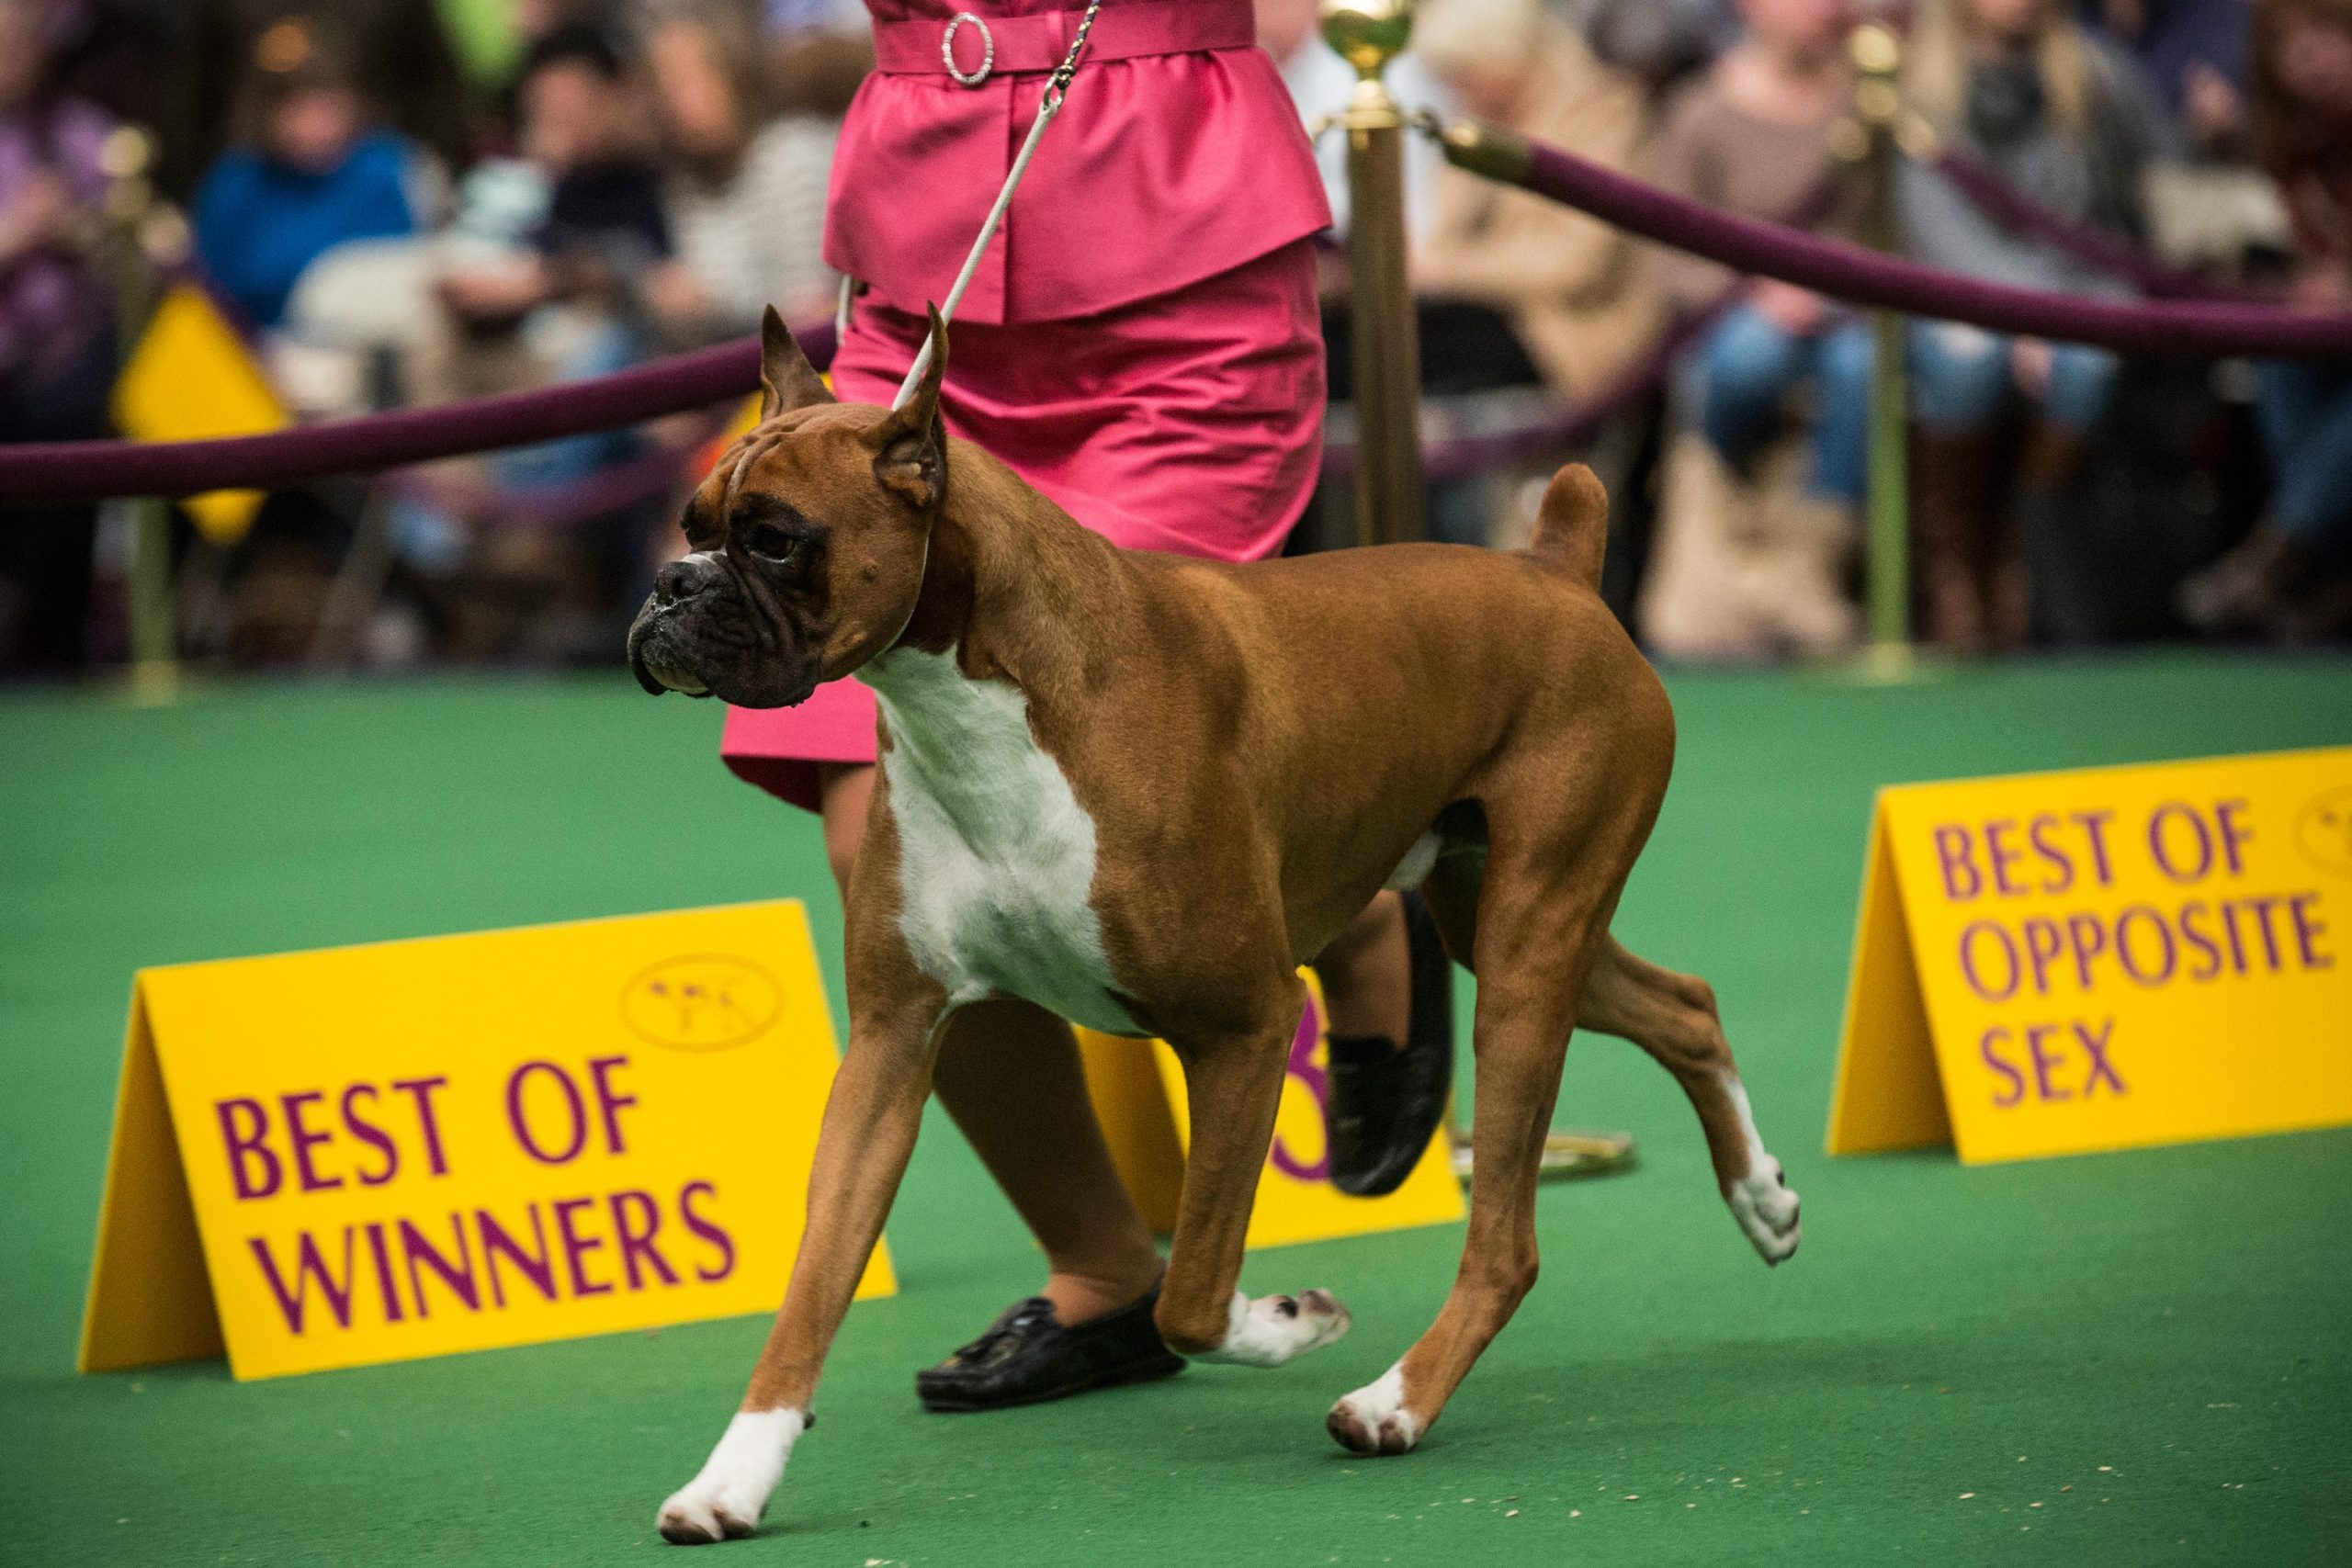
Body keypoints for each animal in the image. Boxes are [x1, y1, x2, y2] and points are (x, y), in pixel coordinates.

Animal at [625, 310, 1796, 1541]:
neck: (979, 699)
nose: (666, 586)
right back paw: (1762, 1201)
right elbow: (810, 1289)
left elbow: (1189, 1291)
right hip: (1512, 924)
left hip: (1530, 951)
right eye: (692, 527)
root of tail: (1557, 571)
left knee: (1507, 1244)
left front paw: (1287, 1319)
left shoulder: (1243, 1029)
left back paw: (1394, 1403)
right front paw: (732, 1479)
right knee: (1685, 1005)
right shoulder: (893, 1049)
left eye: (775, 540)